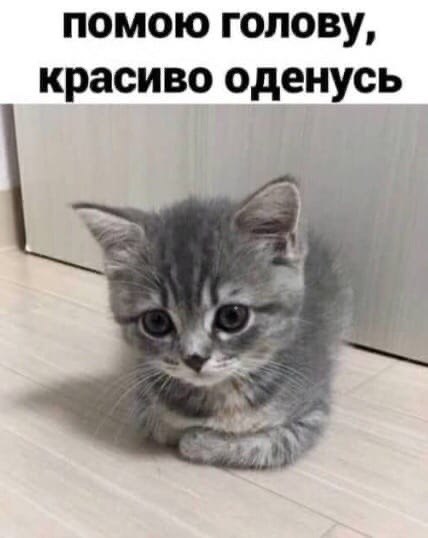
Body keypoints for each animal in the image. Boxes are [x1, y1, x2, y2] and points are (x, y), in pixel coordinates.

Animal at [74, 177, 350, 469]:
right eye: (157, 321)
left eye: (232, 316)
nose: (194, 359)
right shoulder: (142, 396)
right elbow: (157, 422)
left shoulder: (311, 414)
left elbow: (257, 446)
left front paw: (198, 440)